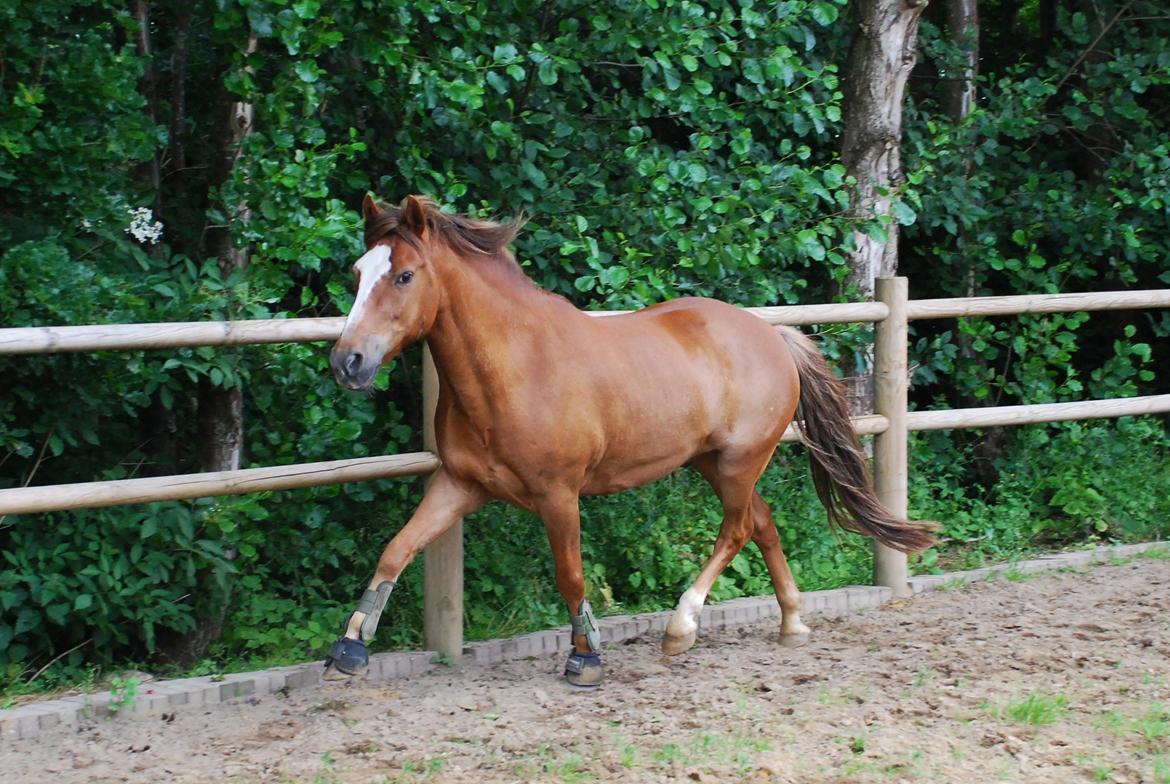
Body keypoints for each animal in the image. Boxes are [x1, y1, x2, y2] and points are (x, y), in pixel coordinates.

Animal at [322, 195, 931, 688]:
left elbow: (570, 575)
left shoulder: (558, 495)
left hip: (739, 461)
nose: (347, 363)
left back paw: (681, 627)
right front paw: (349, 649)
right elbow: (396, 550)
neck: (515, 366)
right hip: (713, 463)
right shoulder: (459, 485)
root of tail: (772, 335)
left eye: (404, 276)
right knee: (762, 522)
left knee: (736, 529)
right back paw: (793, 622)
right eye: (358, 272)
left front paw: (585, 659)